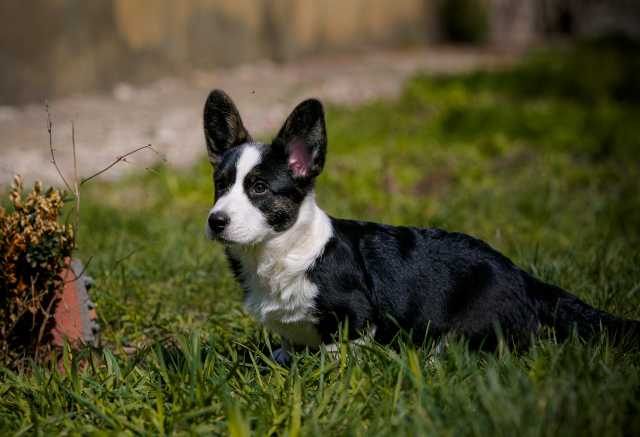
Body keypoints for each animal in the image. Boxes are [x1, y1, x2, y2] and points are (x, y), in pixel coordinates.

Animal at [204, 89, 640, 364]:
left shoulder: (356, 316)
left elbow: (338, 353)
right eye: (220, 185)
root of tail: (521, 275)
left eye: (259, 188)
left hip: (474, 325)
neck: (279, 252)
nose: (215, 220)